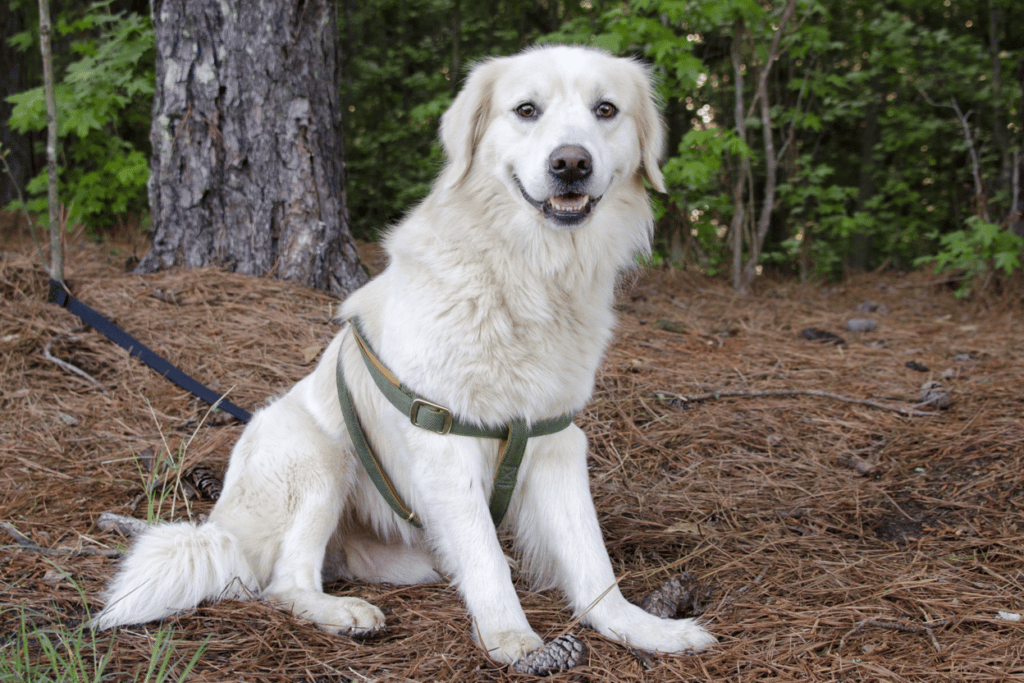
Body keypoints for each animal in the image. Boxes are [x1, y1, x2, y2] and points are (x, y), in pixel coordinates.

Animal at [97, 45, 720, 663]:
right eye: (526, 109)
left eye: (605, 110)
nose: (571, 163)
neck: (525, 274)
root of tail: (222, 528)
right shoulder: (443, 434)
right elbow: (486, 556)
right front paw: (512, 639)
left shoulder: (555, 438)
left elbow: (592, 561)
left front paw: (643, 629)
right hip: (319, 455)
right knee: (285, 583)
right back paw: (344, 612)